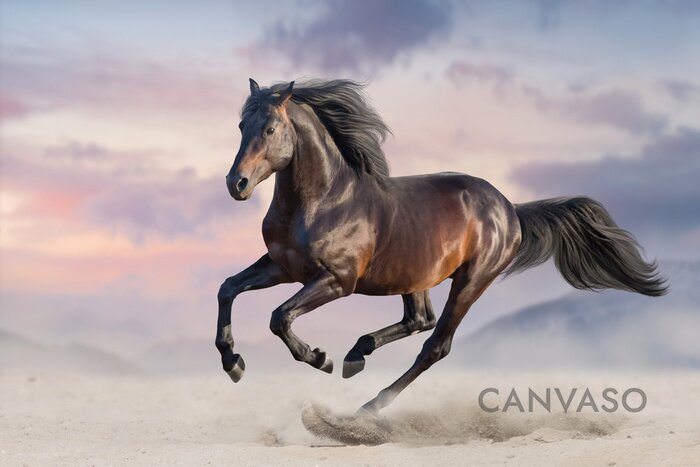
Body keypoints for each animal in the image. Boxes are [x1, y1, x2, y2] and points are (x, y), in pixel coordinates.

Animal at [215, 78, 668, 414]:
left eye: (269, 129)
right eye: (239, 127)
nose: (236, 184)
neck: (325, 200)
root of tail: (510, 208)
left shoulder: (336, 280)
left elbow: (279, 317)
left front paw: (319, 357)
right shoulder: (282, 267)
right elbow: (228, 289)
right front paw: (233, 363)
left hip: (471, 281)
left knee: (436, 344)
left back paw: (368, 405)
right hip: (413, 274)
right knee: (420, 320)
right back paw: (357, 356)